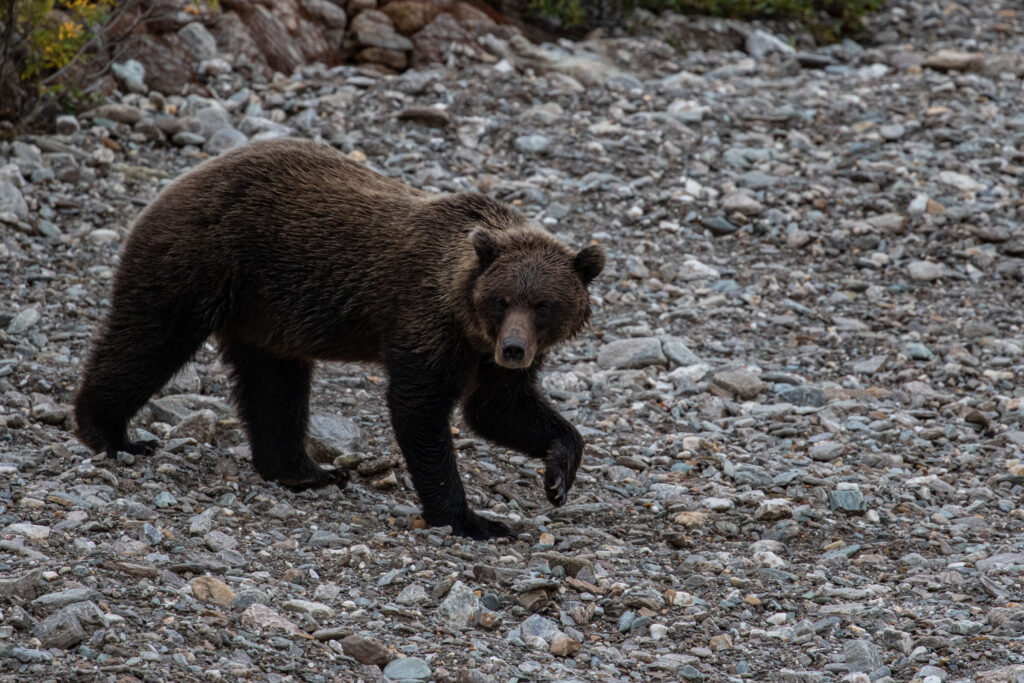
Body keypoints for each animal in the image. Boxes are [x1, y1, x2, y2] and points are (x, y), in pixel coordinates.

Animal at [75, 139, 602, 540]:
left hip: (265, 312)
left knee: (274, 386)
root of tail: (180, 180)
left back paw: (306, 470)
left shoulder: (485, 355)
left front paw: (558, 475)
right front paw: (471, 519)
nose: (514, 349)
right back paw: (111, 433)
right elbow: (420, 409)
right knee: (151, 337)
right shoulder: (426, 320)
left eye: (542, 305)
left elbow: (500, 407)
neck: (466, 319)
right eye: (502, 300)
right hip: (205, 261)